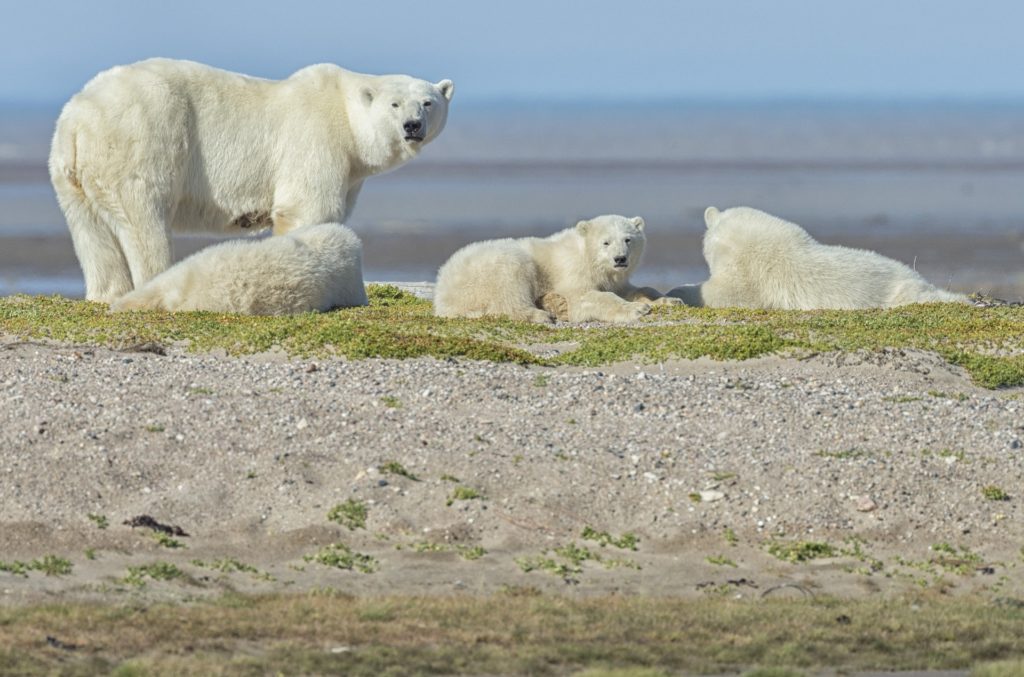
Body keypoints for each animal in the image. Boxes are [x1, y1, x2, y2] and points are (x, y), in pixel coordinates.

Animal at [49, 58, 454, 302]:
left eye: (428, 102)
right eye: (394, 104)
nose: (412, 126)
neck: (344, 114)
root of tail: (77, 118)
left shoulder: (350, 169)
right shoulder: (315, 139)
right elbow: (308, 209)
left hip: (71, 171)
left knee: (90, 231)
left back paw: (107, 293)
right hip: (142, 136)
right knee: (144, 218)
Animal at [433, 215, 681, 323]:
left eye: (628, 239)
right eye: (606, 242)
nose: (620, 259)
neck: (586, 255)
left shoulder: (614, 278)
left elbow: (633, 289)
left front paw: (669, 300)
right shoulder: (572, 271)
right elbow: (585, 297)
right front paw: (636, 310)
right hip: (494, 266)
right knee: (510, 288)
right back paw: (540, 314)